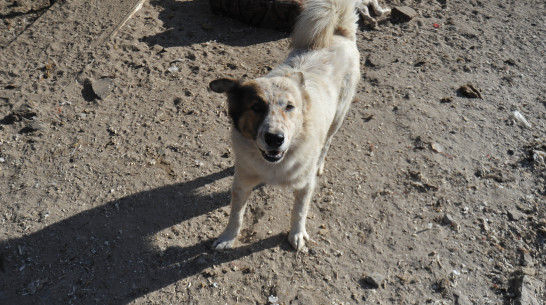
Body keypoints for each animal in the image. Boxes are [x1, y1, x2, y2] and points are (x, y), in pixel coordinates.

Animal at [206, 0, 360, 249]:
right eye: (256, 107)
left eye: (289, 107)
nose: (275, 139)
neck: (273, 166)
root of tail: (339, 33)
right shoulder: (242, 182)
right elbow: (236, 214)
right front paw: (227, 237)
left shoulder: (304, 185)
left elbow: (299, 211)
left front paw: (297, 234)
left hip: (338, 117)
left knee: (327, 142)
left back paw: (319, 163)